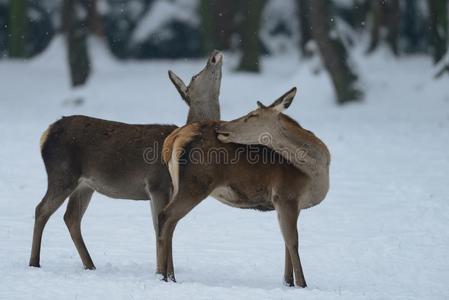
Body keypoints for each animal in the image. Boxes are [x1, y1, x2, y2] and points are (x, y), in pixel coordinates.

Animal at [28, 50, 223, 278]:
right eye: (195, 76)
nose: (214, 54)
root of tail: (45, 134)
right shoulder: (157, 184)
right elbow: (160, 226)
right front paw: (164, 275)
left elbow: (164, 227)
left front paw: (168, 274)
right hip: (62, 173)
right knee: (41, 209)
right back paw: (34, 262)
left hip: (84, 185)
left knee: (71, 217)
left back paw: (90, 265)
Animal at [159, 88, 330, 288]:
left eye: (252, 115)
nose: (221, 128)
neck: (315, 173)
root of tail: (173, 138)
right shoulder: (285, 194)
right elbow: (293, 241)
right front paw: (302, 284)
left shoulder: (292, 203)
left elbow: (286, 242)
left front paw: (288, 282)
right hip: (196, 184)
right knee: (165, 216)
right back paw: (163, 275)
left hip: (176, 184)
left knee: (171, 223)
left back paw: (170, 275)